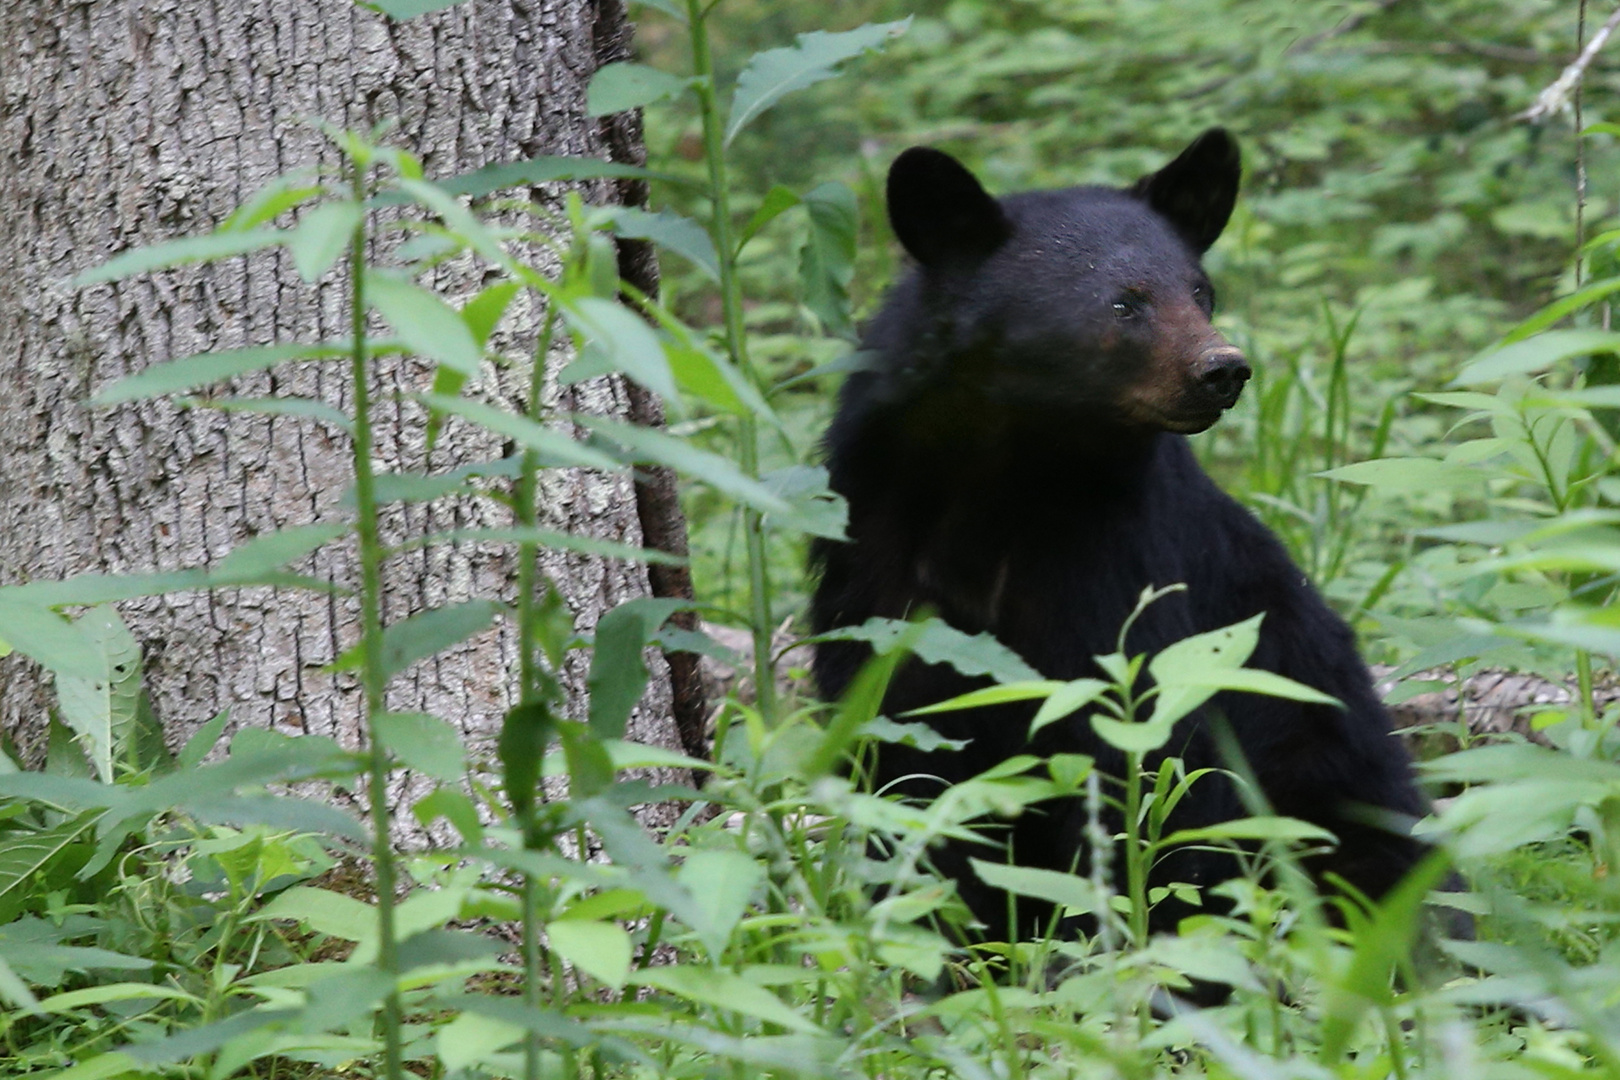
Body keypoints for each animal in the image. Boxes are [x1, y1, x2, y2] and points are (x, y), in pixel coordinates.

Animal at [816, 131, 1438, 945]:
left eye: (1200, 290)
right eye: (1123, 302)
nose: (1223, 369)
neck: (1002, 475)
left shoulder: (1122, 560)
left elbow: (1157, 768)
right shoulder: (875, 548)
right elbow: (894, 754)